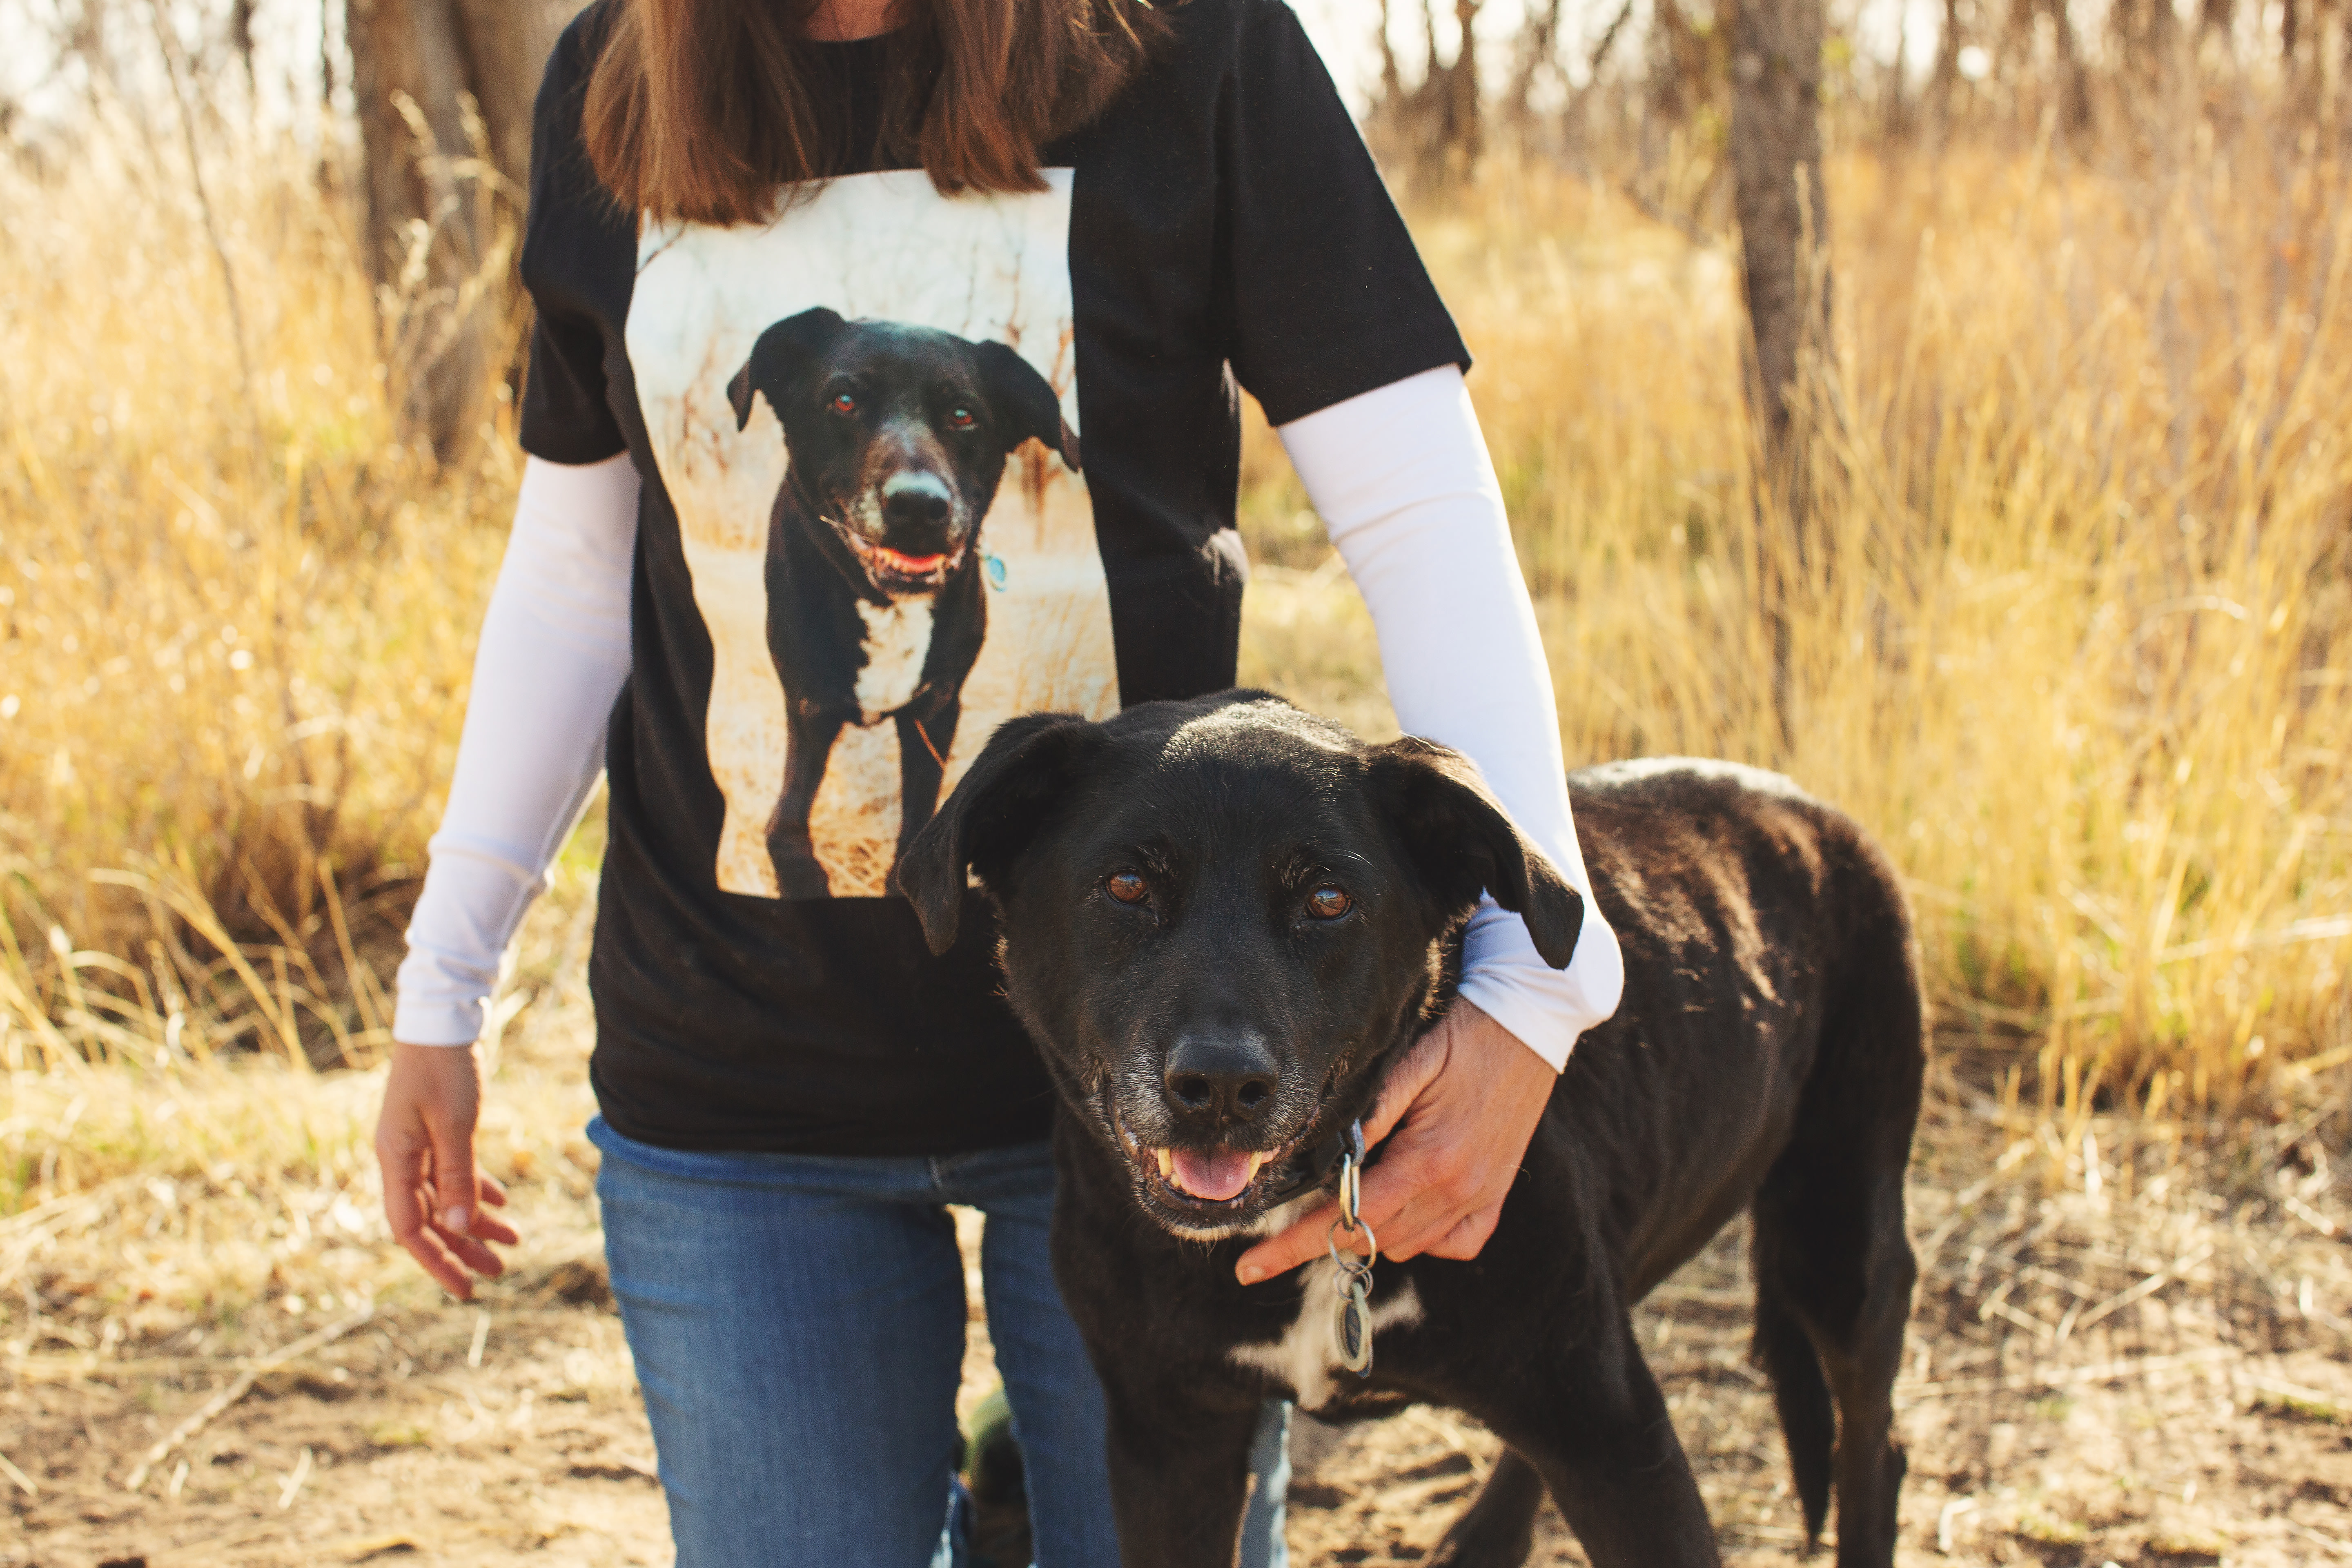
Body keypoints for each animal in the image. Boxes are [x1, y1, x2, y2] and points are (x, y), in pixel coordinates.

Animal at [724, 310, 1082, 893]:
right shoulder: (809, 709)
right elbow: (785, 829)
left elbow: (920, 826)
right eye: (845, 400)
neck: (887, 606)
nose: (918, 506)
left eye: (963, 414)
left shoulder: (935, 712)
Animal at [898, 691, 1929, 1568]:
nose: (1220, 1086)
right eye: (1124, 885)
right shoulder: (1168, 1443)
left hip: (1837, 1235)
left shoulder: (1614, 1436)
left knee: (1876, 1442)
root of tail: (1815, 811)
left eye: (1327, 900)